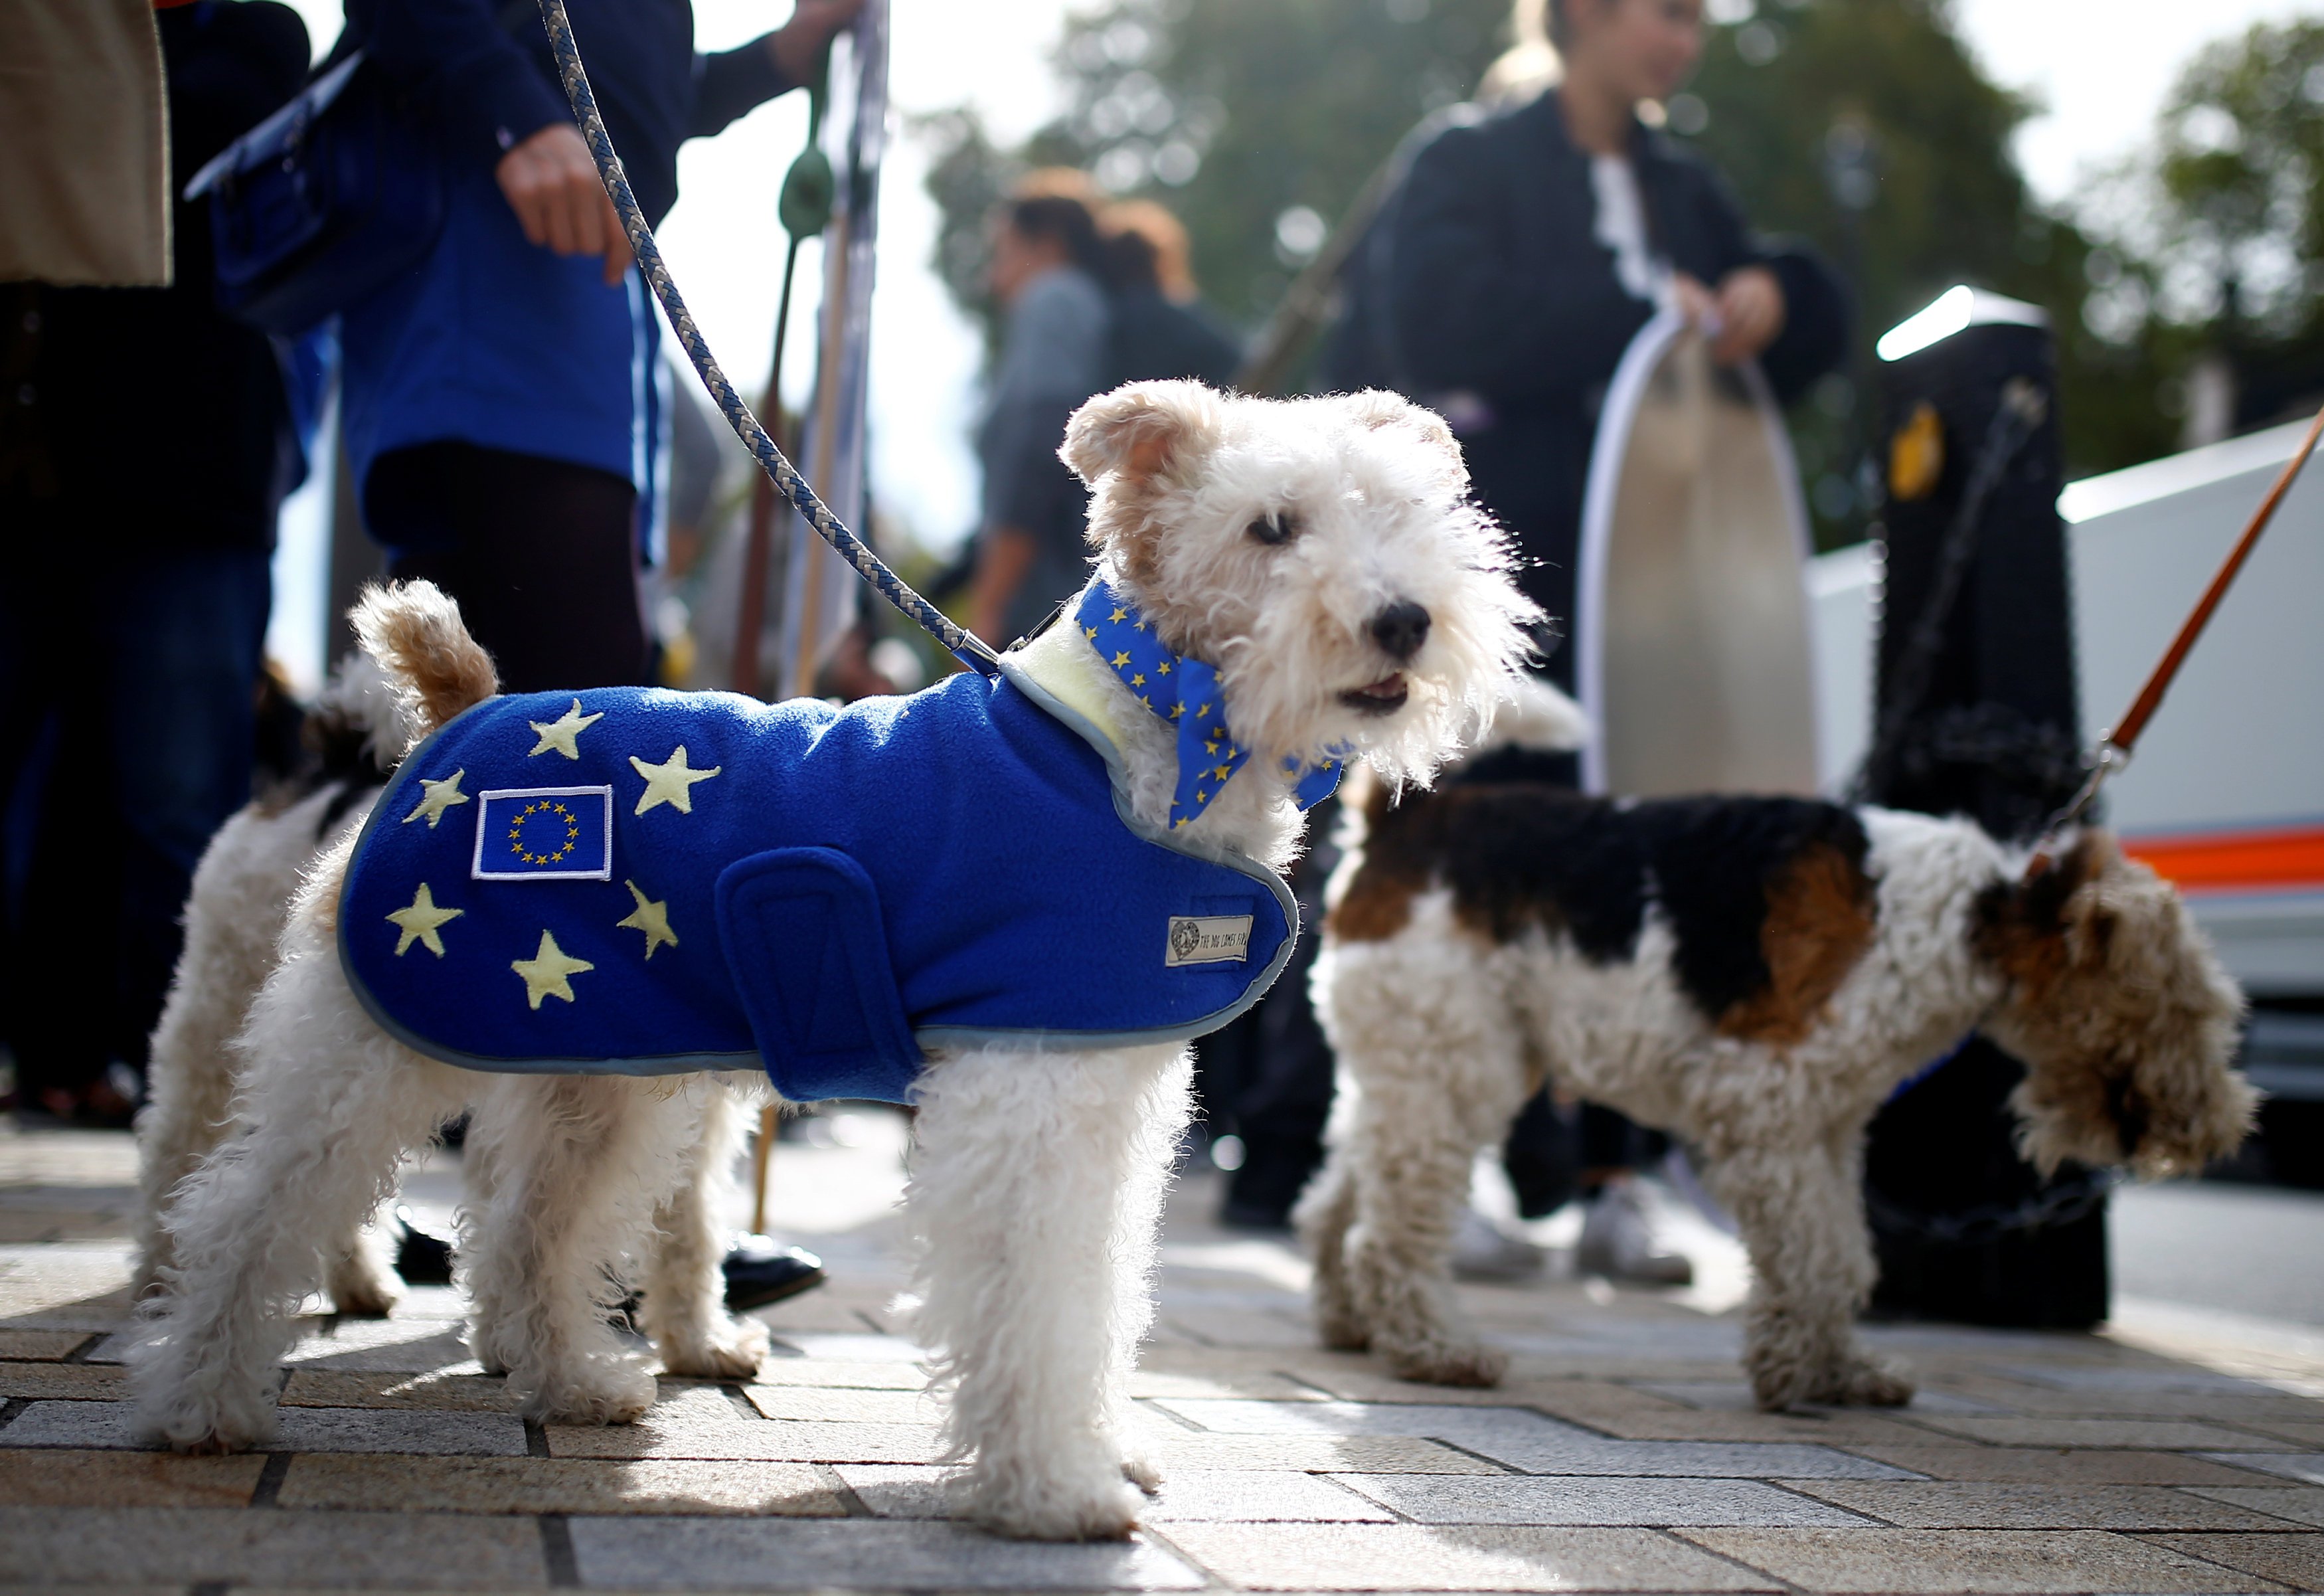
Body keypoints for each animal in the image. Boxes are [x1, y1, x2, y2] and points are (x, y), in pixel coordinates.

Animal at [127, 381, 1543, 1542]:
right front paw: (1054, 1490)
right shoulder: (1026, 1100)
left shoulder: (1107, 1103)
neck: (1135, 744)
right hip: (379, 1034)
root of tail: (456, 707)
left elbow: (1095, 1297)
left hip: (599, 1065)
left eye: (1404, 513)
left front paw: (1106, 1449)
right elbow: (1031, 1301)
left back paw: (576, 1381)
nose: (1405, 622)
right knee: (246, 1205)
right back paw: (198, 1404)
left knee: (529, 1229)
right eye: (1270, 526)